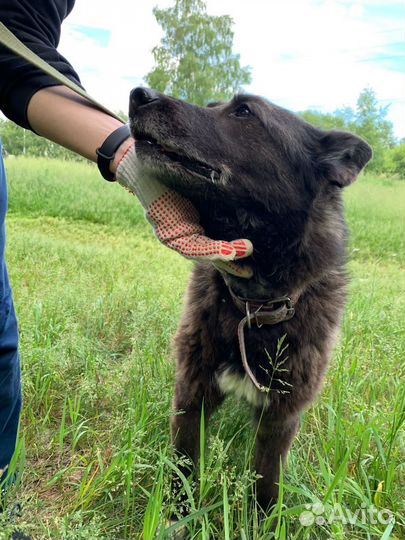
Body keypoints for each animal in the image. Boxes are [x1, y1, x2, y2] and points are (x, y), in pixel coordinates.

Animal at [128, 88, 370, 520]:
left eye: (244, 111)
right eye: (210, 106)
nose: (140, 94)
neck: (253, 306)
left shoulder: (281, 417)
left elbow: (265, 480)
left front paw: (260, 521)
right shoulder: (192, 392)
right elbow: (184, 465)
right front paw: (179, 517)